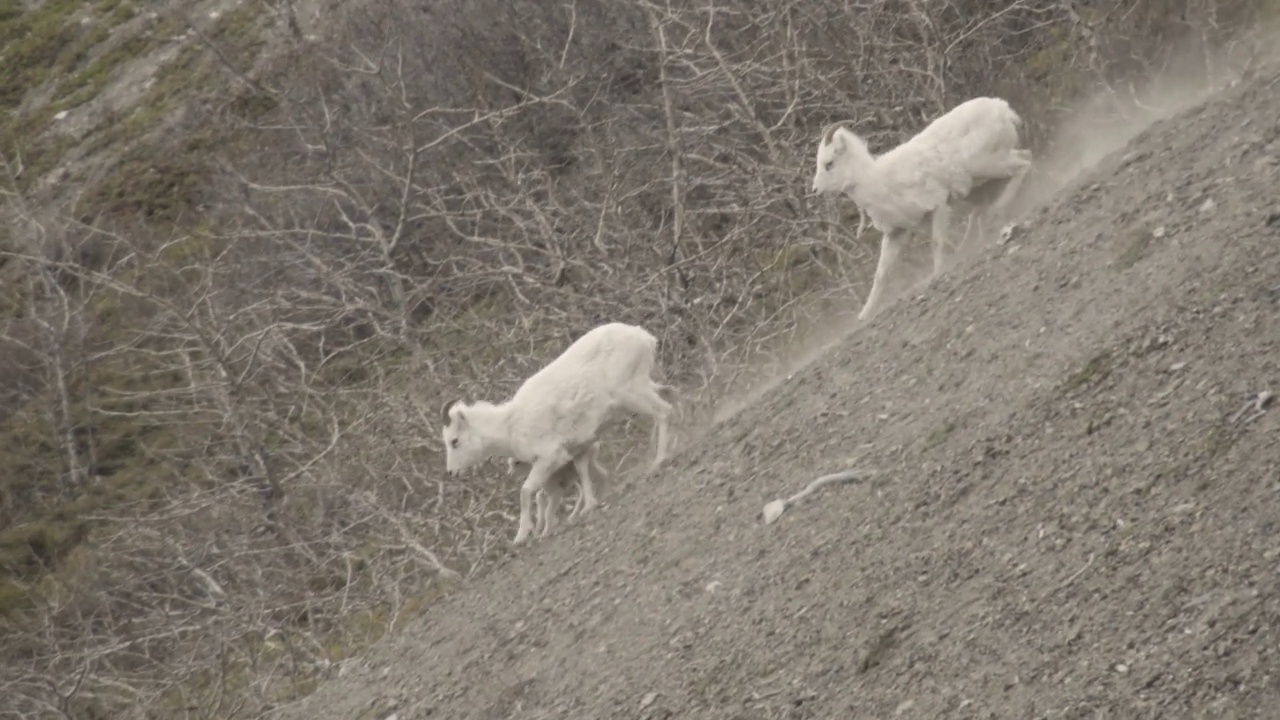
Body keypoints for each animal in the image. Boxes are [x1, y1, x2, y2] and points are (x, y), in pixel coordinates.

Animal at [442, 320, 675, 543]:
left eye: (454, 441)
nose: (452, 472)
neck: (510, 426)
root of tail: (643, 337)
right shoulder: (577, 450)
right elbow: (582, 472)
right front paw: (589, 506)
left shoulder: (549, 458)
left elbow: (526, 492)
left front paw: (522, 536)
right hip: (646, 386)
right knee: (669, 397)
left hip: (631, 393)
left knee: (663, 412)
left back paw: (658, 462)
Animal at [814, 96, 1034, 319]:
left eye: (829, 163)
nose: (816, 190)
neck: (880, 181)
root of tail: (1002, 108)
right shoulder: (896, 233)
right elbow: (881, 274)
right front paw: (863, 316)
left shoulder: (937, 207)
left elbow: (937, 243)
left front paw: (937, 274)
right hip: (979, 181)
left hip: (988, 166)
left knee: (1024, 163)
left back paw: (999, 211)